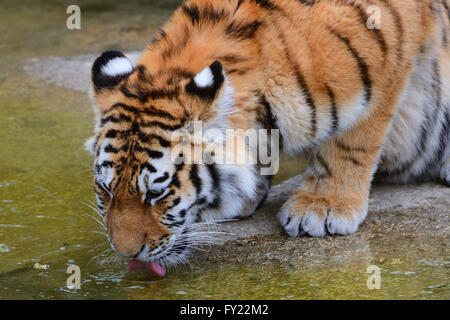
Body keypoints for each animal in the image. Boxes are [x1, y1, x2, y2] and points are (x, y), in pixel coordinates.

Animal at [85, 0, 450, 272]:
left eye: (157, 194)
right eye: (106, 190)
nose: (126, 254)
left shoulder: (388, 62)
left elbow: (351, 142)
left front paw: (323, 206)